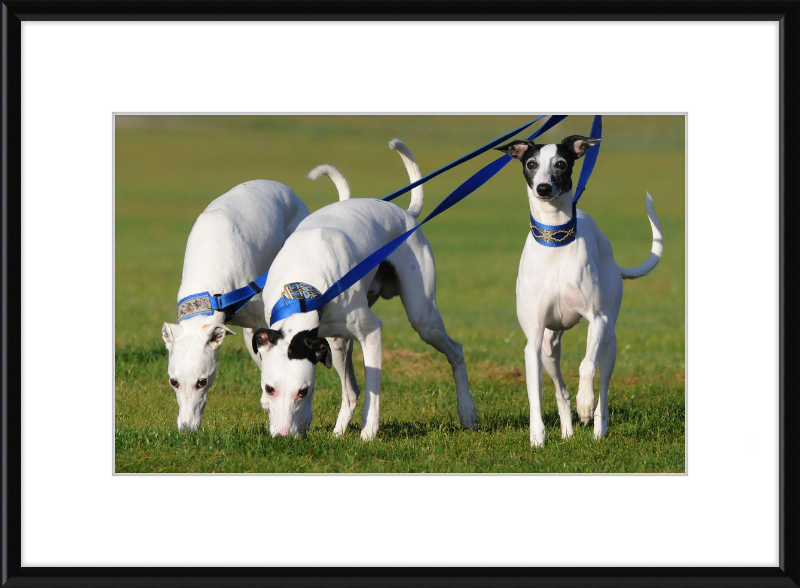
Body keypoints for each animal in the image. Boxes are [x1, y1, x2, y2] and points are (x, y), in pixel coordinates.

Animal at [252, 140, 476, 438]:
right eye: (269, 388)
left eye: (303, 391)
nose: (283, 436)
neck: (301, 291)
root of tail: (406, 214)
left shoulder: (371, 333)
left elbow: (373, 389)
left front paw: (369, 432)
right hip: (337, 344)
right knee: (351, 391)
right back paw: (337, 432)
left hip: (423, 318)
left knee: (455, 351)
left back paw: (467, 412)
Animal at [496, 134, 664, 446]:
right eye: (531, 164)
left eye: (561, 164)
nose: (543, 188)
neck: (555, 241)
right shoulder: (533, 339)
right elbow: (535, 392)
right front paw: (537, 438)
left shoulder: (596, 320)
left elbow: (586, 365)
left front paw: (584, 405)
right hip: (549, 346)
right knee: (560, 390)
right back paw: (567, 433)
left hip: (609, 341)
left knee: (603, 385)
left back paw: (597, 428)